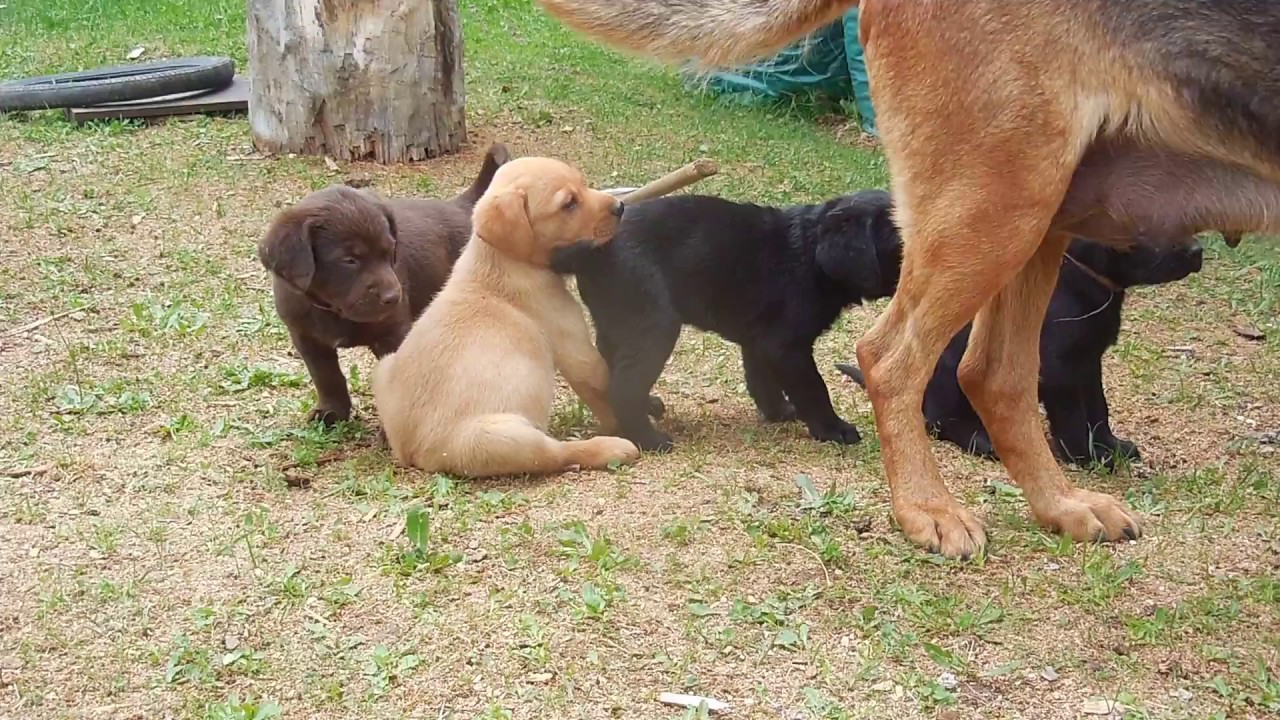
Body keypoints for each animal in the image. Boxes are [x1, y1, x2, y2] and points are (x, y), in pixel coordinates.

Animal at [371, 154, 640, 474]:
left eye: (583, 185)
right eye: (569, 204)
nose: (620, 207)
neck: (502, 261)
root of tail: (411, 451)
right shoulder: (575, 348)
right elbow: (601, 387)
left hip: (385, 364)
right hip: (505, 437)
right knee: (557, 454)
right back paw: (611, 447)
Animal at [550, 188, 901, 445]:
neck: (812, 253)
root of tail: (591, 249)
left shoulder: (760, 341)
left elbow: (761, 380)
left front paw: (778, 412)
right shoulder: (785, 346)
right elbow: (814, 388)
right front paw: (834, 429)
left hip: (618, 324)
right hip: (654, 328)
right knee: (624, 386)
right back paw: (650, 440)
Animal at [834, 235, 1203, 466]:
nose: (1198, 251)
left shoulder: (1088, 362)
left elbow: (1100, 410)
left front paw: (1111, 446)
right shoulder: (1059, 370)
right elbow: (1074, 420)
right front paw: (1086, 458)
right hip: (950, 375)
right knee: (942, 421)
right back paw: (984, 439)